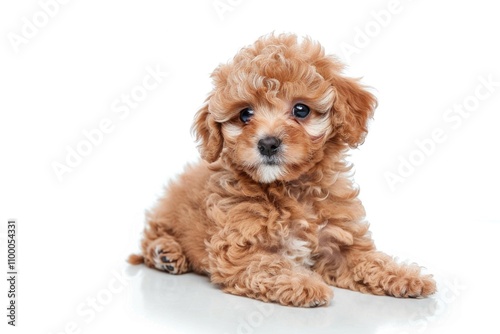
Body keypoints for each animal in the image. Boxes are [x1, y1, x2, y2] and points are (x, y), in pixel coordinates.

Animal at [128, 32, 434, 306]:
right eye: (245, 114)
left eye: (301, 110)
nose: (268, 143)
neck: (291, 188)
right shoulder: (240, 250)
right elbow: (271, 265)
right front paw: (306, 284)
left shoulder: (341, 241)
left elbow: (370, 260)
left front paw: (409, 277)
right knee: (151, 236)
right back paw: (165, 253)